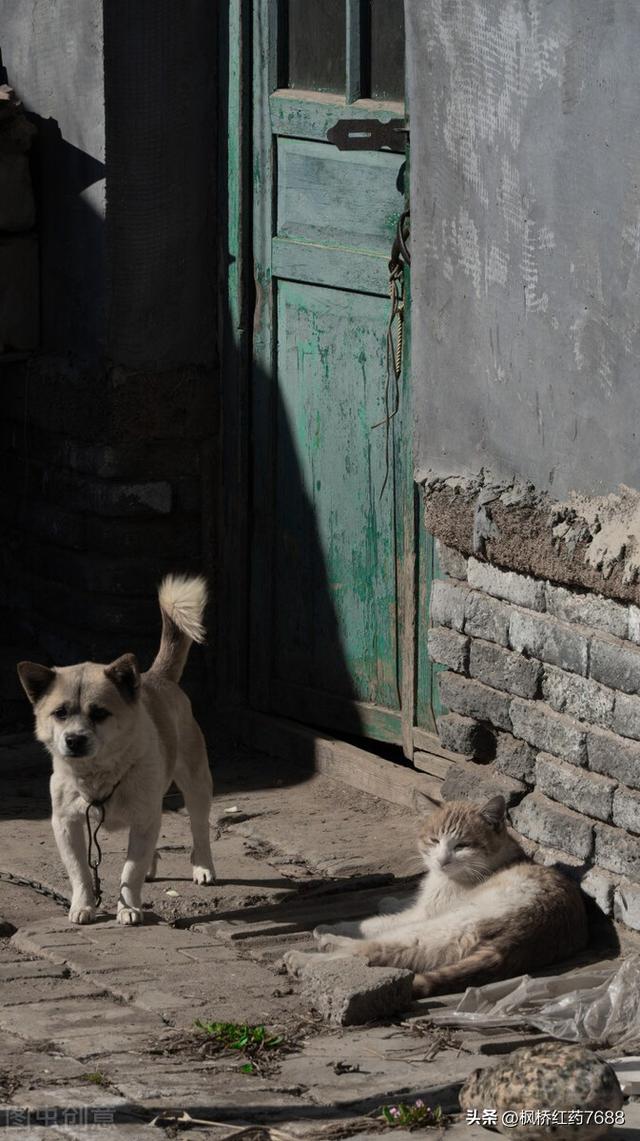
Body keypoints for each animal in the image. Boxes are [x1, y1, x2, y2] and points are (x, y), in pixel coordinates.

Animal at [14, 575, 213, 921]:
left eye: (99, 714)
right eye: (60, 713)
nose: (74, 740)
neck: (98, 774)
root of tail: (155, 676)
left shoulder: (144, 817)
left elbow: (129, 871)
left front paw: (129, 908)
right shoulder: (66, 824)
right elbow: (80, 871)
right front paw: (83, 905)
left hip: (197, 785)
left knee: (199, 829)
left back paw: (203, 867)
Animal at [287, 798, 588, 994]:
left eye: (462, 845)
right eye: (434, 841)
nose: (442, 860)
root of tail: (528, 938)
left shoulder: (425, 913)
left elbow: (374, 923)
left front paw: (335, 926)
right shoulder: (424, 905)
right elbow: (401, 905)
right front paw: (389, 900)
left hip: (444, 925)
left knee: (377, 950)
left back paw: (310, 953)